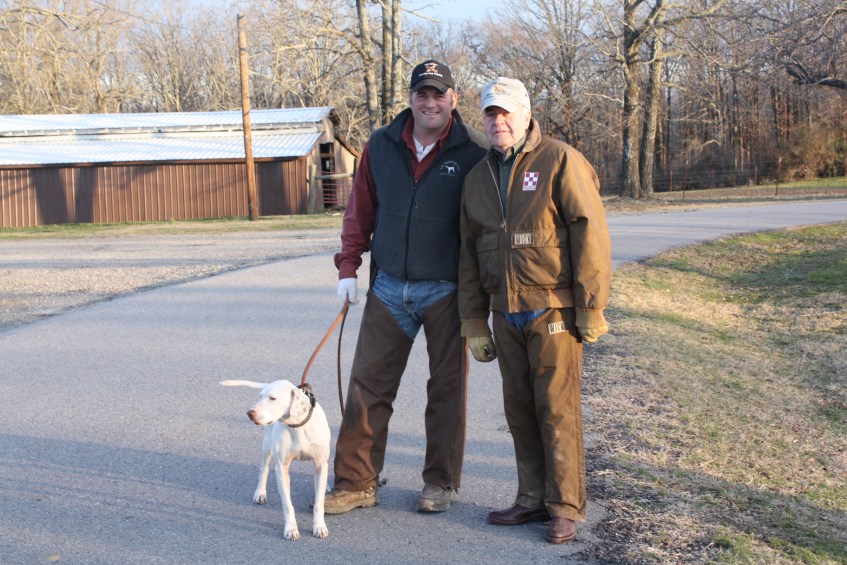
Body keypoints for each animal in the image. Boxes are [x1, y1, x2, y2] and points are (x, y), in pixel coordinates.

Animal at [221, 379, 330, 540]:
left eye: (273, 398)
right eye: (260, 396)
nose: (250, 413)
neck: (297, 425)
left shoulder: (320, 464)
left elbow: (319, 502)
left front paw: (319, 526)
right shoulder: (282, 468)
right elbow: (287, 504)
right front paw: (291, 529)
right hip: (267, 446)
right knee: (264, 468)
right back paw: (260, 493)